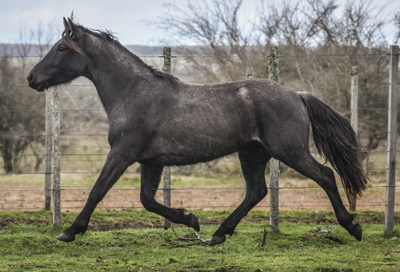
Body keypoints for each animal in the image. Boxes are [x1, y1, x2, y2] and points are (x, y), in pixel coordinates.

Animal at [26, 18, 368, 245]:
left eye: (61, 47)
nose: (31, 78)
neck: (133, 93)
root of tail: (297, 95)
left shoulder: (122, 153)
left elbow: (98, 191)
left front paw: (69, 231)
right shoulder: (151, 162)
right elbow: (147, 200)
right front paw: (191, 220)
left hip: (289, 151)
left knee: (325, 176)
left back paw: (353, 227)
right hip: (253, 152)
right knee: (256, 191)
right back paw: (219, 234)